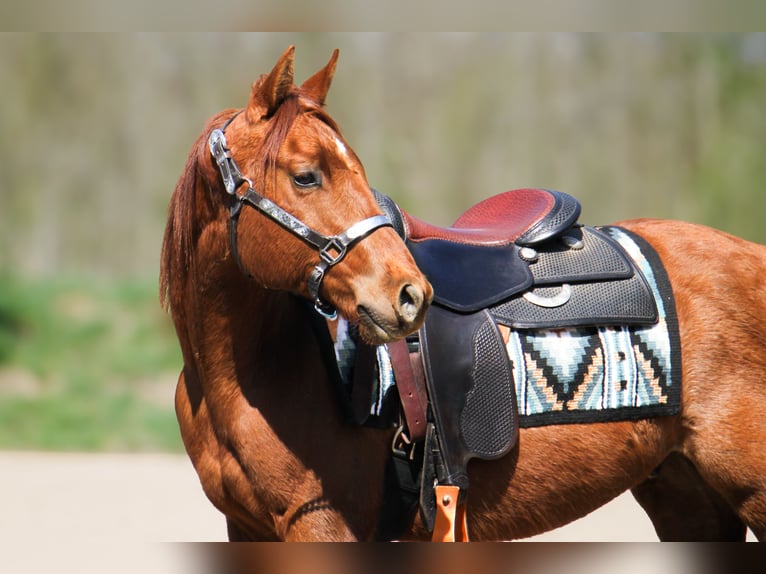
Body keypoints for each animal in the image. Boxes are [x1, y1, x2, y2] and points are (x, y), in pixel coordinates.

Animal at [160, 46, 766, 542]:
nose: (410, 296)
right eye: (306, 175)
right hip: (686, 494)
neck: (243, 377)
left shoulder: (320, 525)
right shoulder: (248, 528)